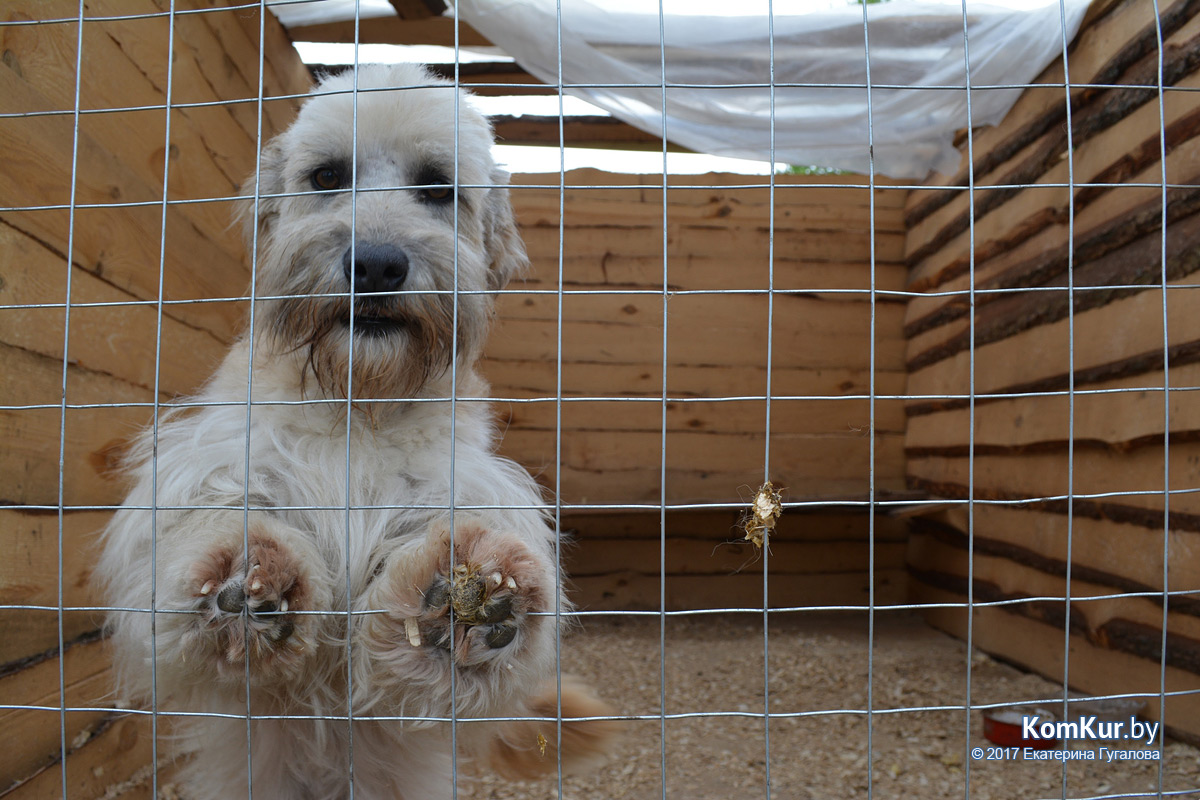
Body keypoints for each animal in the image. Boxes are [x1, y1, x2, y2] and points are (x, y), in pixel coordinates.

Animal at [96, 64, 609, 800]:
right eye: (327, 175)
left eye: (437, 186)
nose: (375, 265)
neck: (358, 404)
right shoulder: (214, 468)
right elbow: (220, 514)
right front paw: (245, 568)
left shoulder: (458, 488)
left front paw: (466, 601)